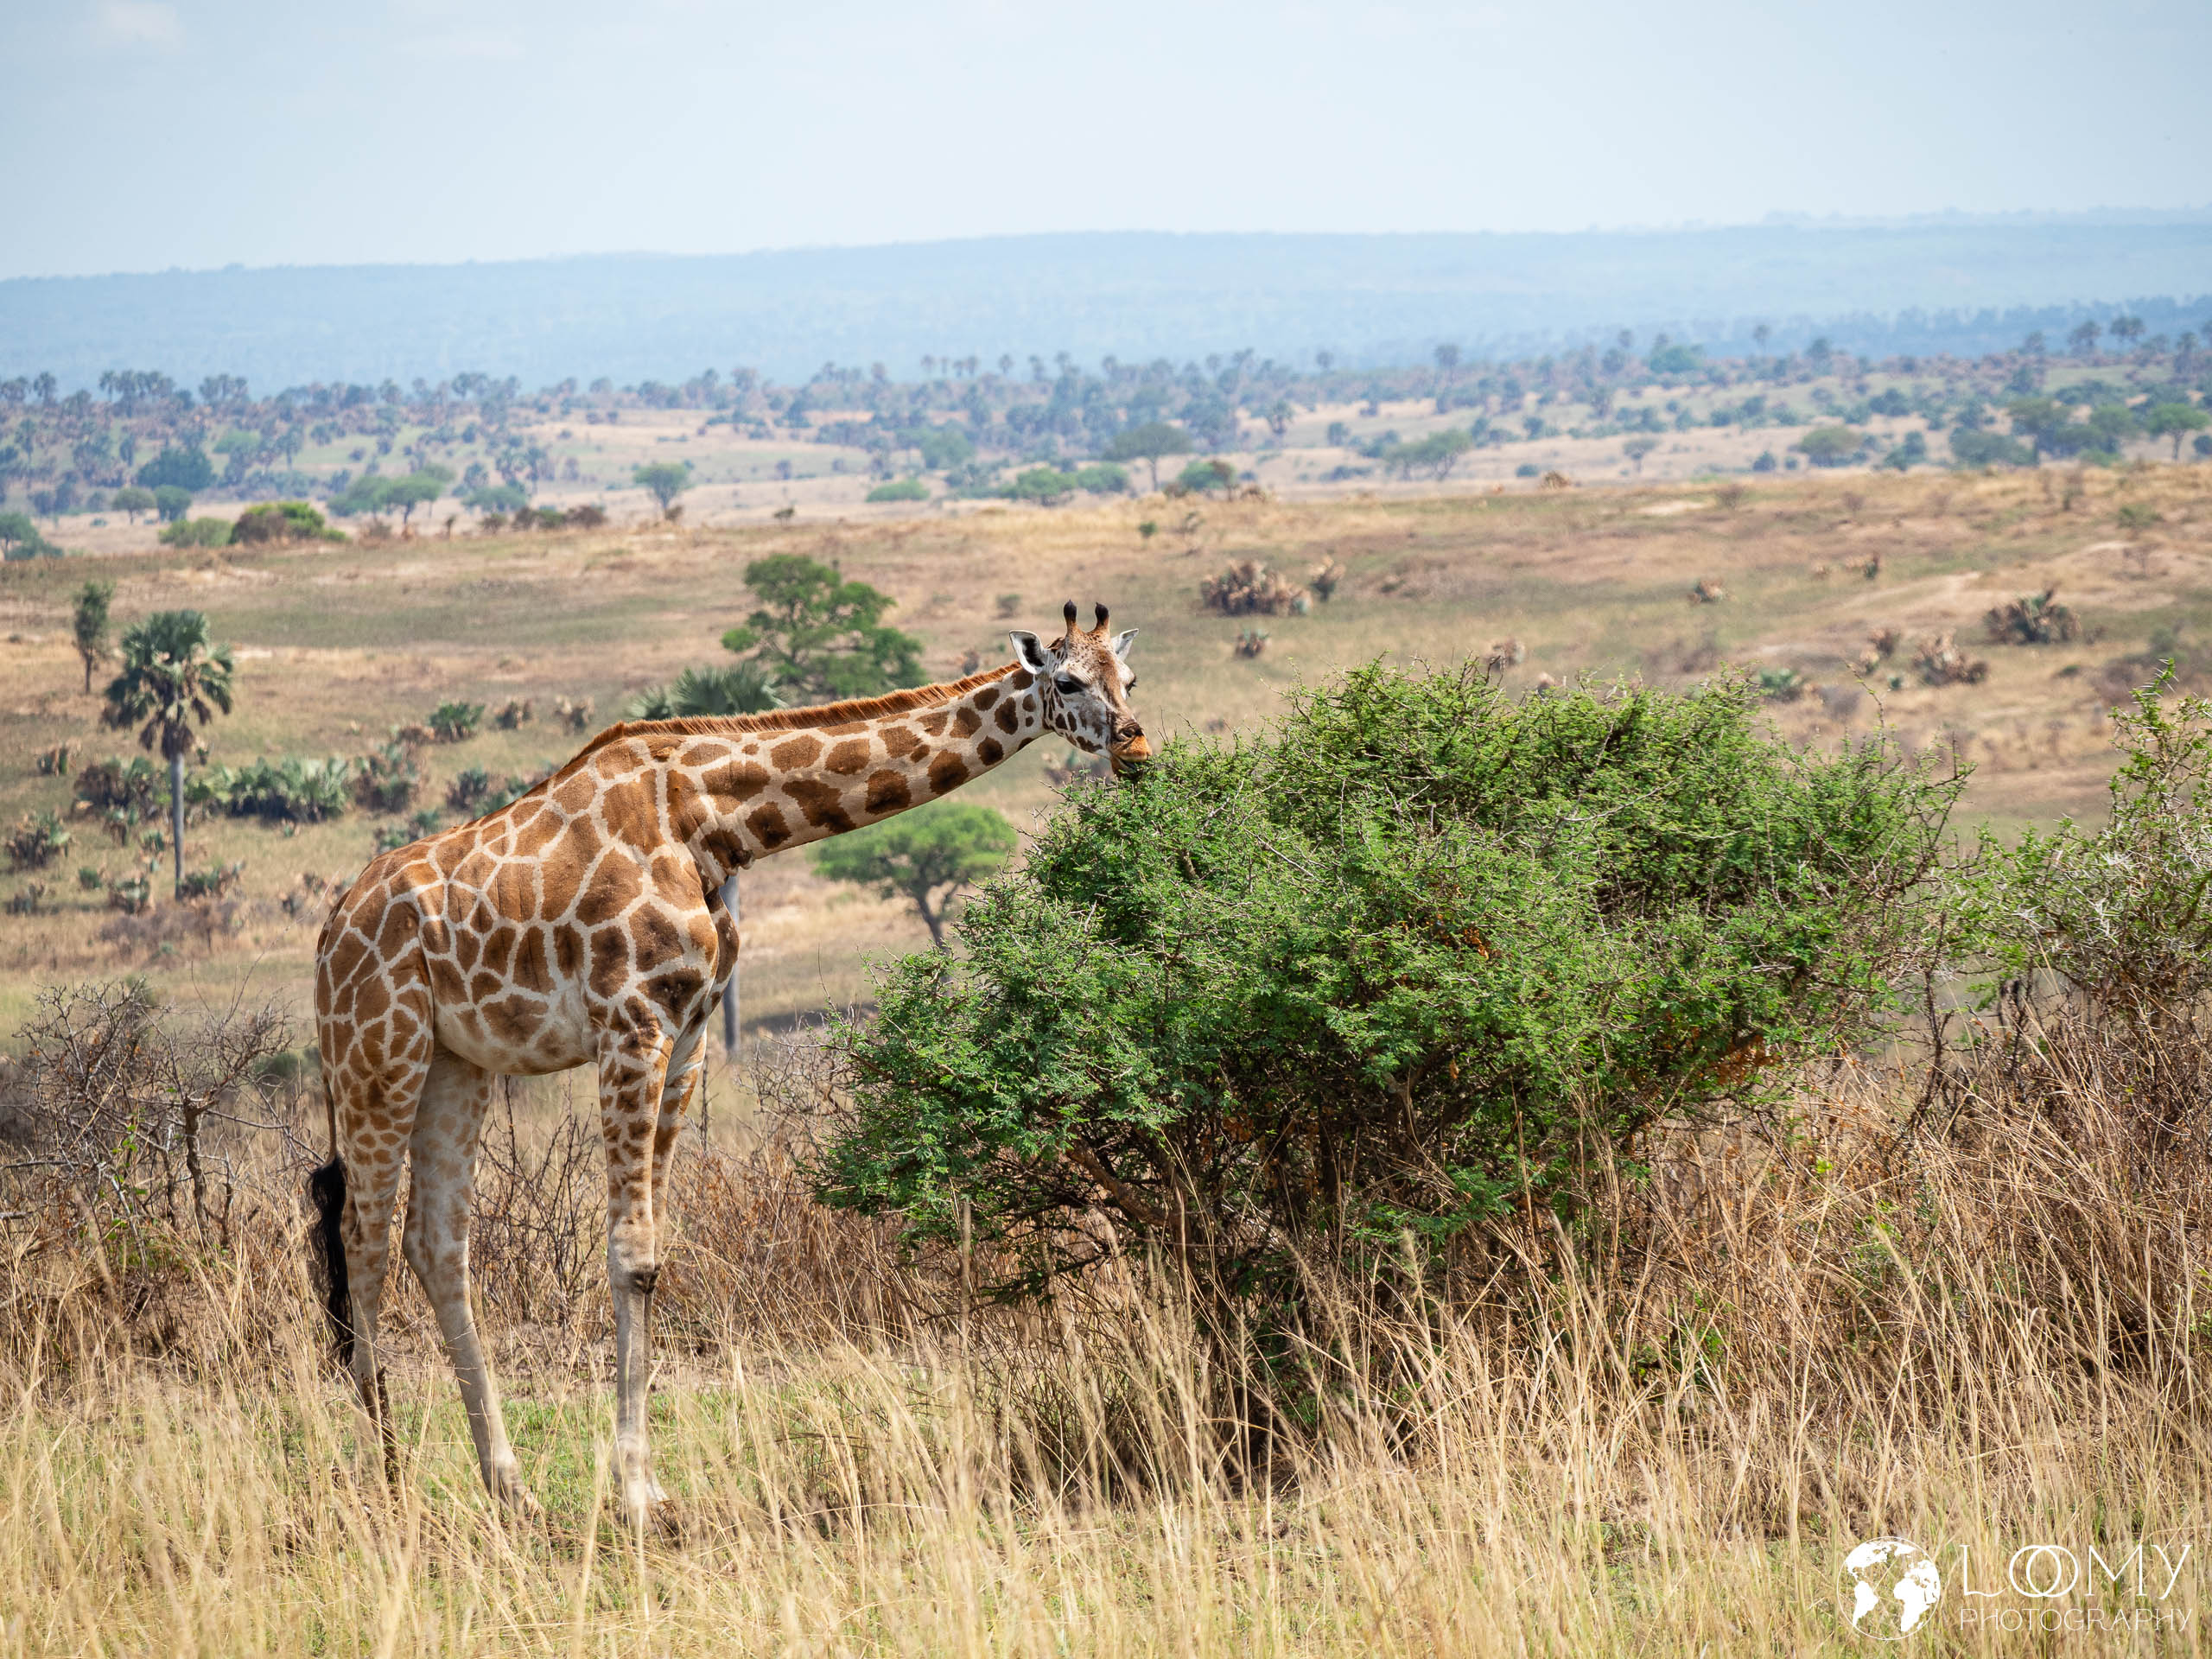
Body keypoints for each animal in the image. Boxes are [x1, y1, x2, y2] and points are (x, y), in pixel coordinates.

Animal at [309, 601, 1146, 1524]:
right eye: (1066, 681)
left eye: (1129, 679)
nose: (1136, 744)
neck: (711, 822)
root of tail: (331, 925)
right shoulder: (630, 1024)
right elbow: (630, 1254)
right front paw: (634, 1490)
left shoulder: (690, 1034)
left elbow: (654, 1254)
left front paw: (646, 1482)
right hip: (378, 1050)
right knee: (362, 1237)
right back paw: (389, 1480)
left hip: (455, 1063)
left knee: (434, 1242)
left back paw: (509, 1486)